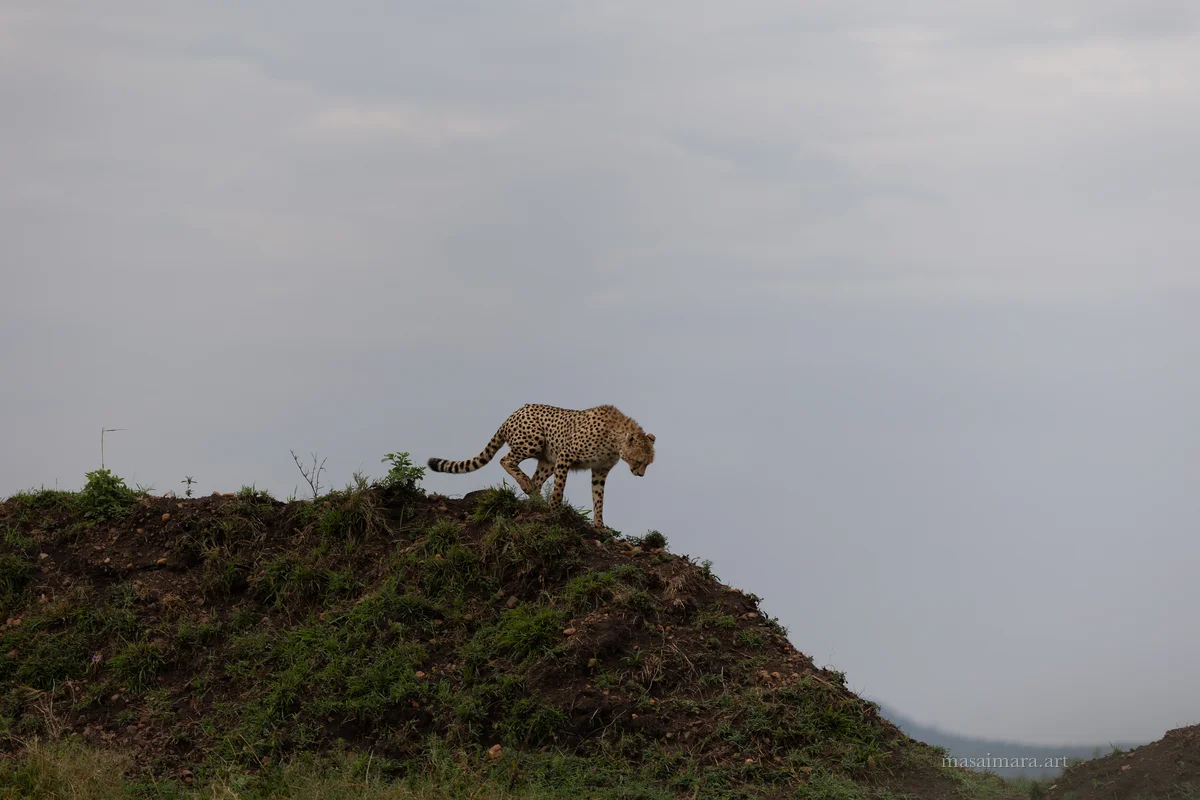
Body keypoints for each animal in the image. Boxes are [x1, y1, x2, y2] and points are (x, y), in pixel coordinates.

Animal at [426, 403, 655, 529]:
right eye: (639, 461)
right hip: (534, 441)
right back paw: (527, 485)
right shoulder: (565, 455)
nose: (641, 475)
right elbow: (559, 488)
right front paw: (555, 510)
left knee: (536, 481)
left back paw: (535, 498)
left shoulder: (599, 471)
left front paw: (600, 526)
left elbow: (598, 499)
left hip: (547, 461)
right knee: (506, 460)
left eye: (648, 463)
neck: (615, 440)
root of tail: (515, 412)